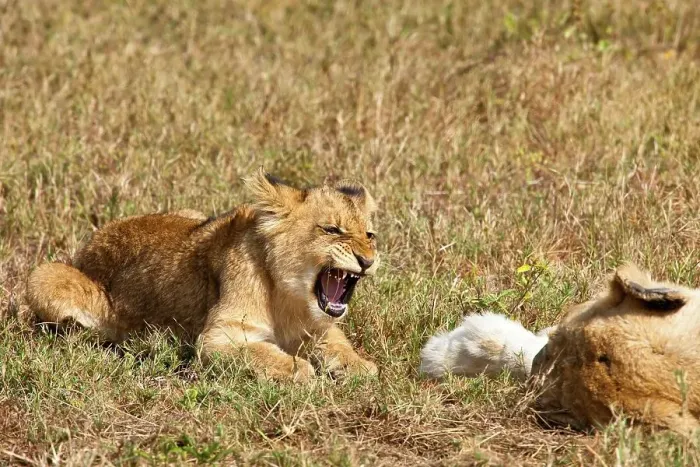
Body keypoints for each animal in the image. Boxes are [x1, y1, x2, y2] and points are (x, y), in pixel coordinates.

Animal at [26, 168, 379, 382]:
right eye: (332, 229)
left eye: (370, 235)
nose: (367, 260)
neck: (291, 298)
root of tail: (90, 244)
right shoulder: (218, 338)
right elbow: (265, 354)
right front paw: (300, 369)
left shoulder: (318, 327)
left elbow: (340, 345)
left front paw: (360, 366)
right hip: (44, 276)